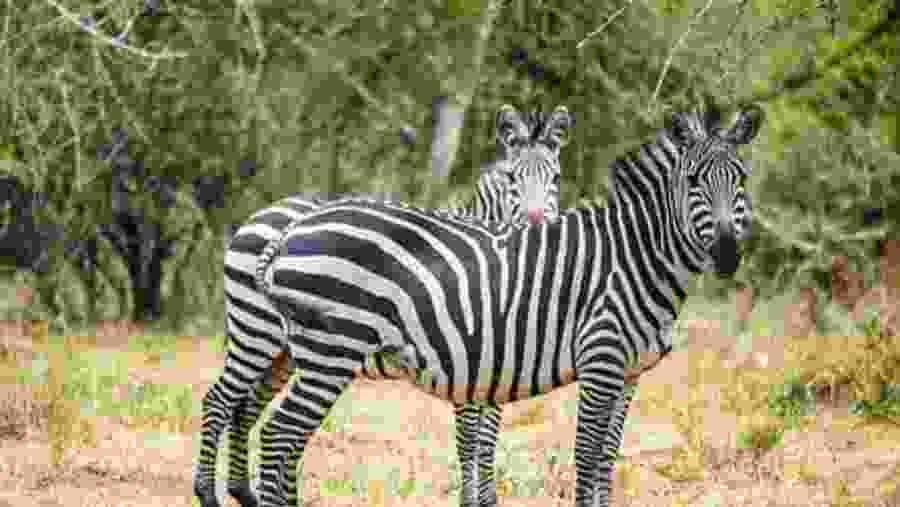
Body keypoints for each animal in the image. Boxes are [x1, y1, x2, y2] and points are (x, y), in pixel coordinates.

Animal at [193, 104, 574, 507]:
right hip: (256, 333)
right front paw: (471, 501)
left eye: (556, 178)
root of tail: (260, 214)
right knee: (219, 400)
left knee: (247, 408)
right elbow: (470, 440)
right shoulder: (469, 360)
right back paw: (208, 492)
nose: (537, 224)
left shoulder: (498, 366)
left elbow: (487, 441)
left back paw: (245, 492)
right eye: (514, 179)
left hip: (287, 353)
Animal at [251, 103, 764, 507]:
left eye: (740, 180)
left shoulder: (630, 374)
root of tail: (291, 228)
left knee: (279, 436)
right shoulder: (600, 362)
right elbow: (586, 457)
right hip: (329, 352)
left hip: (302, 355)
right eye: (693, 181)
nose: (726, 254)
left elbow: (607, 461)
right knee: (278, 435)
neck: (635, 256)